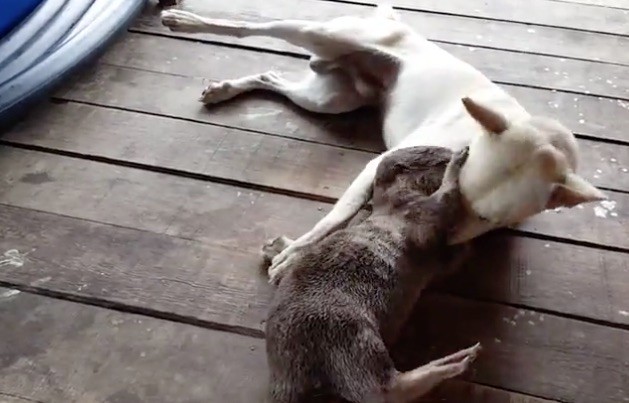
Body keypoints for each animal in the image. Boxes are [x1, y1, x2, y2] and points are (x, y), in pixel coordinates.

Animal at [161, 3, 604, 280]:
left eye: (487, 219)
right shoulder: (377, 166)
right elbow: (337, 218)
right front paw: (295, 255)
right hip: (322, 35)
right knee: (257, 27)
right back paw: (185, 21)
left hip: (329, 99)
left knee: (272, 77)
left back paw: (225, 89)